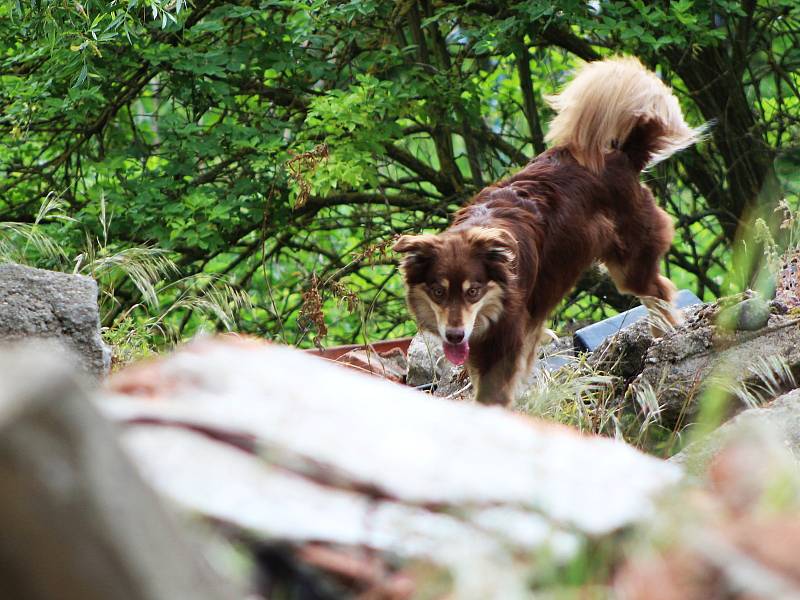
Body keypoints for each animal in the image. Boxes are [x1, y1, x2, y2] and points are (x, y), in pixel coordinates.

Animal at [396, 56, 704, 406]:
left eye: (473, 292)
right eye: (437, 291)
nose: (455, 335)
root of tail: (624, 155)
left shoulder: (502, 342)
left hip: (629, 263)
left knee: (659, 290)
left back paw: (663, 334)